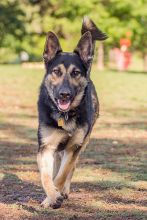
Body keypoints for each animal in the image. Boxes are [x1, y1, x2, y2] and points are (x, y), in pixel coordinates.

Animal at [37, 16, 107, 208]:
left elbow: (61, 175)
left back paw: (64, 191)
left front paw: (56, 195)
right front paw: (51, 197)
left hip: (83, 142)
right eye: (56, 71)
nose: (65, 94)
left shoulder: (73, 147)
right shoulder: (46, 147)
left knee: (71, 168)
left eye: (75, 73)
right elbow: (46, 176)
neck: (65, 115)